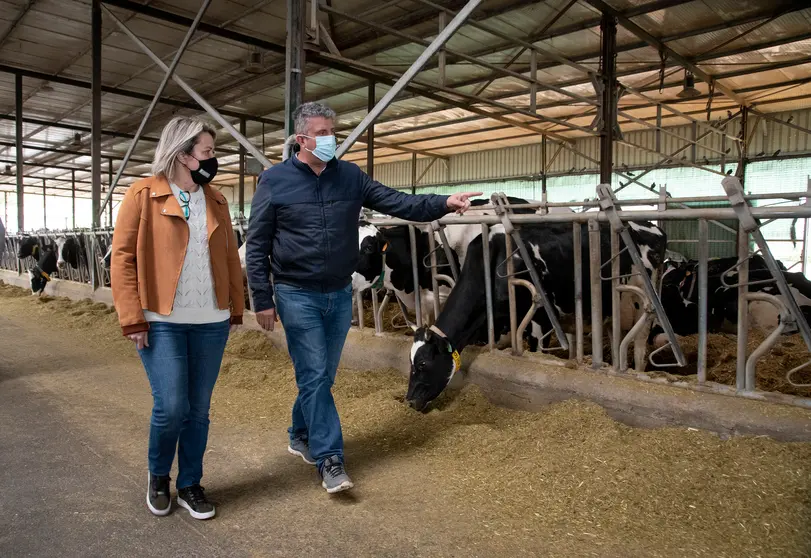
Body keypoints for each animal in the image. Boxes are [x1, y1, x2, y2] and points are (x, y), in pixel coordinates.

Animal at [406, 221, 668, 414]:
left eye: (422, 364)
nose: (409, 400)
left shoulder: (538, 317)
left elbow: (533, 349)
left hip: (643, 298)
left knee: (640, 343)